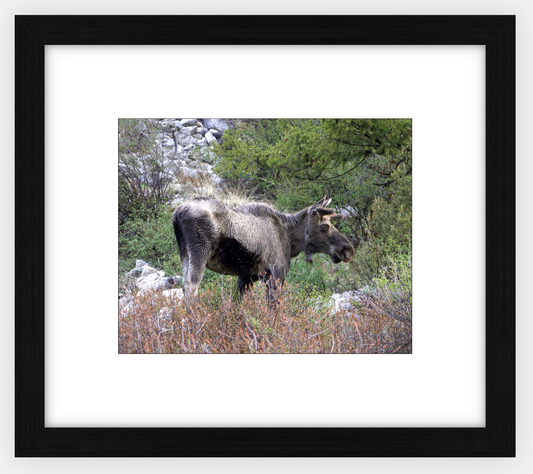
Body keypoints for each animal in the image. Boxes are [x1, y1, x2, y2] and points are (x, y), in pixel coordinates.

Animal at [171, 195, 354, 310]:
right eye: (325, 226)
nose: (348, 249)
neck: (291, 239)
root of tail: (177, 214)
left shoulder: (246, 277)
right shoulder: (276, 274)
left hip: (184, 254)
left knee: (184, 286)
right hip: (199, 251)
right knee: (191, 287)